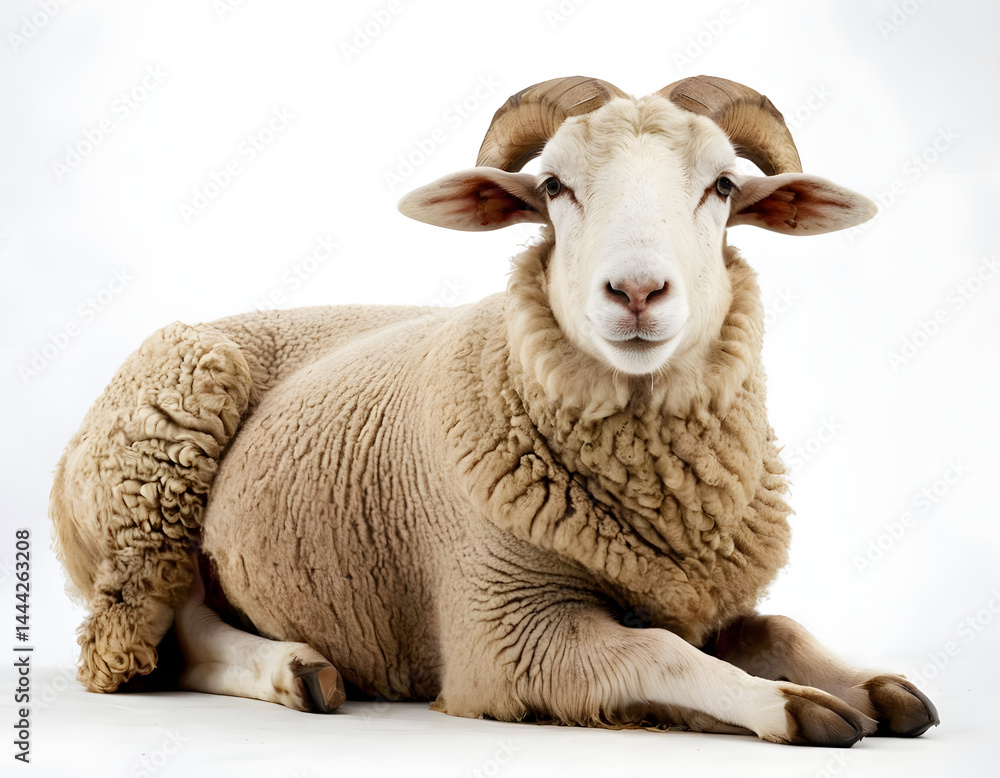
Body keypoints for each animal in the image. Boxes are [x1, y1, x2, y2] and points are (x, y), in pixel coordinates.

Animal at [50, 75, 939, 746]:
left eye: (723, 187)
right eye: (553, 187)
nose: (637, 292)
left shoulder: (711, 599)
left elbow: (779, 632)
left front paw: (873, 684)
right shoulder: (505, 637)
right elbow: (660, 654)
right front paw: (790, 705)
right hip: (151, 488)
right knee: (160, 631)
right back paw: (295, 669)